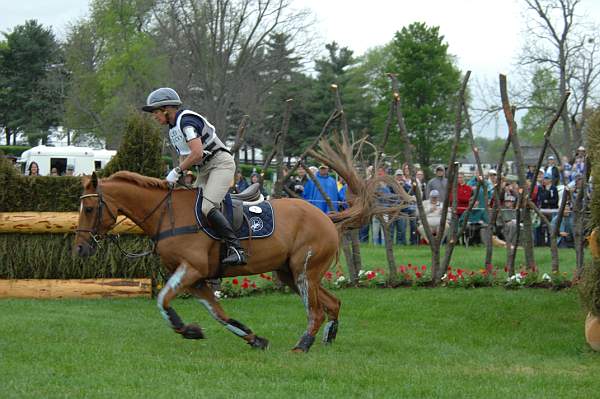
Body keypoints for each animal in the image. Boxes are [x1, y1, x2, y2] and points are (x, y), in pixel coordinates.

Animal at [72, 172, 340, 354]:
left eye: (89, 208)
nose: (80, 248)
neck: (166, 215)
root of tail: (325, 216)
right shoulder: (196, 279)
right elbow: (218, 314)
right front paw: (254, 339)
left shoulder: (192, 270)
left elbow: (163, 300)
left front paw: (188, 329)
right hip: (290, 274)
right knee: (333, 303)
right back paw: (329, 336)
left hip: (304, 272)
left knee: (316, 311)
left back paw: (302, 345)